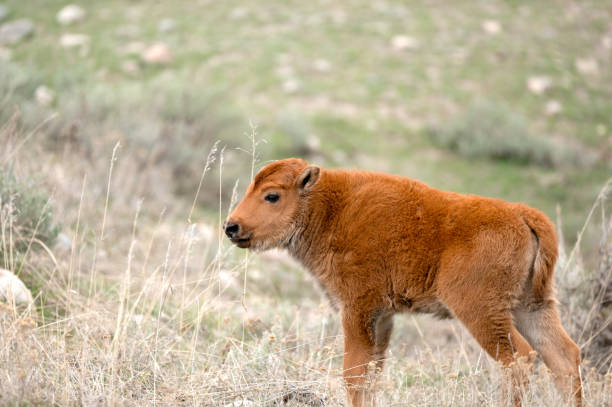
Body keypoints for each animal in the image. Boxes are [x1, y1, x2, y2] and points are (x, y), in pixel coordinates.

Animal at [225, 159, 584, 407]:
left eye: (272, 196)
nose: (232, 226)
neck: (328, 209)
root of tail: (524, 215)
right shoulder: (383, 317)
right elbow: (372, 373)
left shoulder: (358, 309)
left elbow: (354, 372)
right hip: (531, 306)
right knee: (564, 356)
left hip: (481, 311)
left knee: (519, 359)